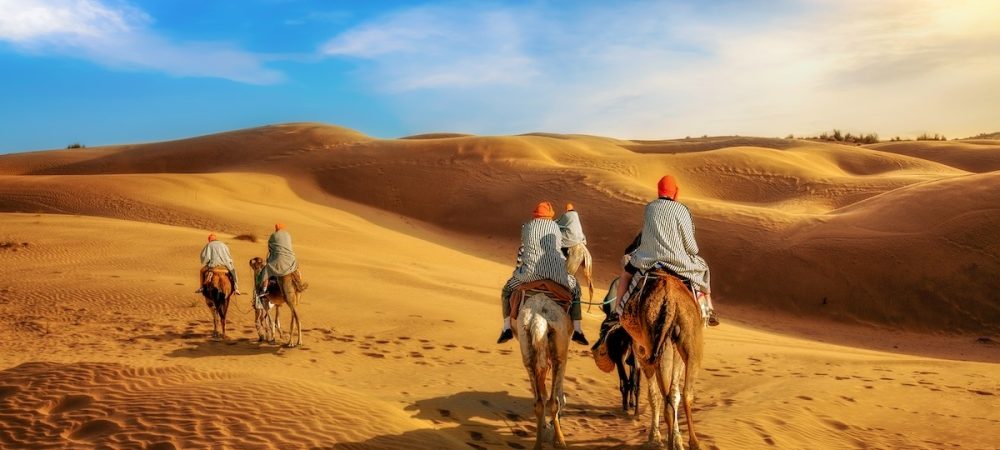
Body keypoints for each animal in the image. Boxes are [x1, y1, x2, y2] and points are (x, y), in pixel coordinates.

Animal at [616, 270, 704, 450]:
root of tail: (670, 301)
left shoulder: (641, 350)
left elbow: (653, 395)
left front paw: (654, 437)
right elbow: (675, 393)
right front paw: (676, 439)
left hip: (654, 340)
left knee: (667, 399)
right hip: (689, 336)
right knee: (685, 394)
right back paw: (693, 443)